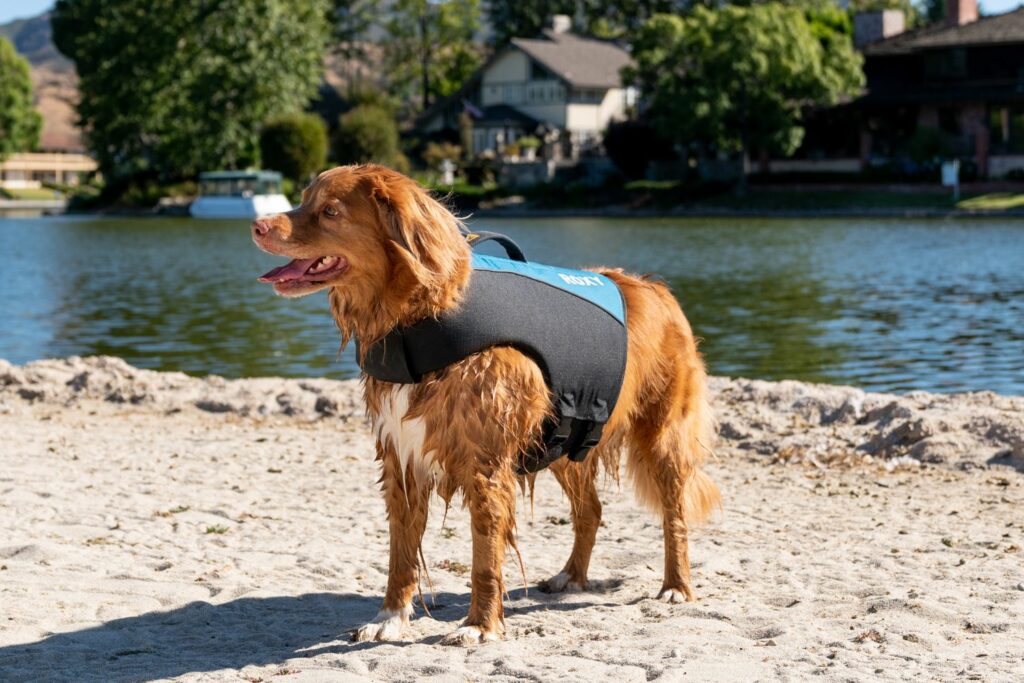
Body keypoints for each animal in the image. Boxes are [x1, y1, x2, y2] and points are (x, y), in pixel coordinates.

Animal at [252, 165, 720, 647]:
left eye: (330, 211)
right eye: (303, 200)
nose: (257, 226)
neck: (414, 319)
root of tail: (657, 289)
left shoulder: (485, 463)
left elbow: (484, 555)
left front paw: (479, 624)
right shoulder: (402, 457)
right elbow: (400, 554)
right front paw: (390, 618)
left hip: (661, 435)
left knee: (674, 516)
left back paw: (675, 586)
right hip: (566, 440)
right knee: (591, 510)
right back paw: (571, 577)